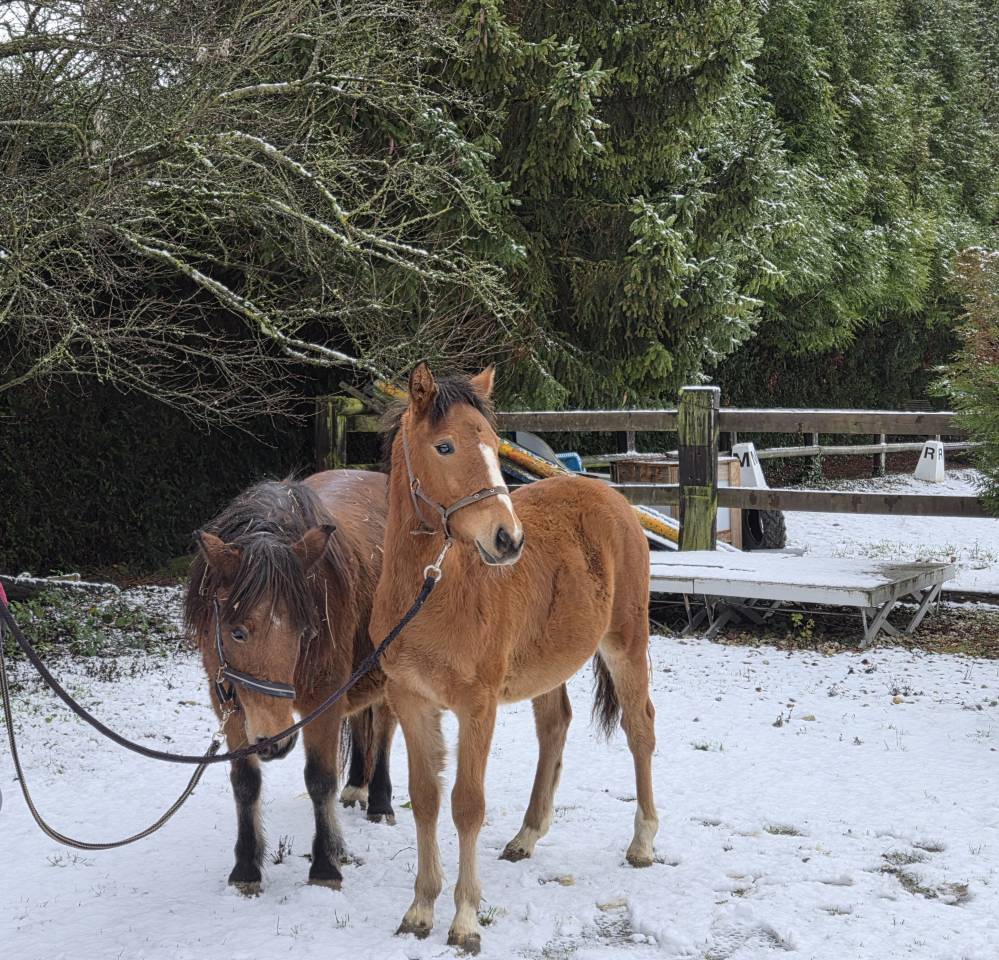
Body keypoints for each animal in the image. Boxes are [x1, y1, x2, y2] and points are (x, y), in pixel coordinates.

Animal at [184, 470, 397, 894]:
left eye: (303, 630)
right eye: (237, 632)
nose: (275, 741)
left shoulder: (324, 699)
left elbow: (319, 780)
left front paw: (326, 866)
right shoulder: (229, 702)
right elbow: (245, 782)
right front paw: (246, 869)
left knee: (383, 727)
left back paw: (380, 801)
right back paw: (357, 786)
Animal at [370, 363, 657, 954]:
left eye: (492, 441)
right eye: (445, 445)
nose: (507, 539)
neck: (432, 591)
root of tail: (615, 498)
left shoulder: (477, 707)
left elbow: (467, 804)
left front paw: (464, 921)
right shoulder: (411, 702)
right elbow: (425, 798)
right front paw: (419, 909)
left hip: (626, 643)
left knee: (640, 728)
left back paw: (642, 843)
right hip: (547, 664)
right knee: (555, 725)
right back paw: (527, 835)